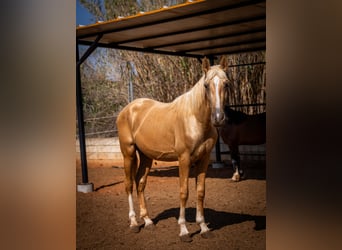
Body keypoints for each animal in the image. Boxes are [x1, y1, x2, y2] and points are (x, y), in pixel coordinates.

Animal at [115, 57, 230, 242]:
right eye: (206, 85)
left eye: (226, 84)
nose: (218, 118)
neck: (195, 119)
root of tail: (128, 109)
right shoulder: (184, 159)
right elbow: (184, 192)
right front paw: (184, 231)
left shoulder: (204, 159)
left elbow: (200, 192)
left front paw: (203, 228)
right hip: (128, 153)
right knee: (128, 184)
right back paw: (133, 223)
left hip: (146, 157)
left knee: (140, 183)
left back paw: (148, 221)